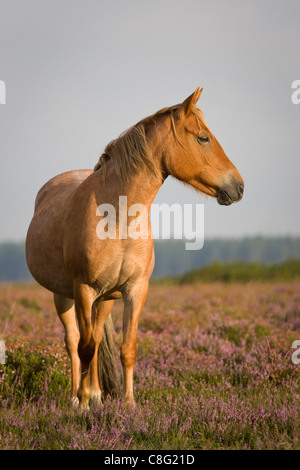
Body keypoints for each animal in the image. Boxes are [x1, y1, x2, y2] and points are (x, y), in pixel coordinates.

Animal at [25, 90, 245, 410]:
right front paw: (82, 405)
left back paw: (96, 394)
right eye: (203, 138)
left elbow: (127, 347)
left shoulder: (135, 289)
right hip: (64, 296)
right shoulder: (84, 289)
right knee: (74, 341)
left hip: (104, 299)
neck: (118, 218)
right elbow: (84, 348)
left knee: (96, 336)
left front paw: (128, 405)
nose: (238, 187)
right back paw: (77, 397)